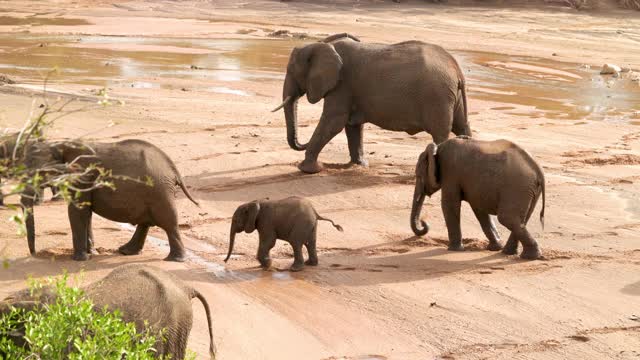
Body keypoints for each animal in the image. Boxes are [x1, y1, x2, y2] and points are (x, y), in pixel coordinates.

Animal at [21, 139, 198, 262]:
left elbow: (78, 211)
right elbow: (86, 213)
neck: (57, 145)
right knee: (147, 222)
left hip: (160, 191)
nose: (34, 254)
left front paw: (80, 259)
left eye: (38, 173)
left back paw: (175, 259)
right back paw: (126, 251)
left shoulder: (81, 177)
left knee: (168, 223)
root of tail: (173, 169)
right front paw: (91, 253)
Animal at [270, 33, 470, 174]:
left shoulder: (342, 85)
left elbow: (333, 122)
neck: (319, 45)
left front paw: (307, 169)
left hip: (437, 98)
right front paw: (359, 165)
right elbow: (352, 126)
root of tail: (456, 69)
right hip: (451, 98)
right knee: (462, 127)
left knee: (440, 134)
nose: (300, 142)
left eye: (291, 71)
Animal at [410, 136, 544, 258]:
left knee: (507, 218)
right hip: (528, 190)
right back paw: (512, 253)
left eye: (418, 176)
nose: (423, 222)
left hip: (517, 187)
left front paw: (454, 249)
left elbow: (449, 204)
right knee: (521, 219)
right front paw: (494, 248)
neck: (438, 147)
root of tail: (538, 169)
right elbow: (479, 209)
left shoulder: (450, 173)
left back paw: (529, 256)